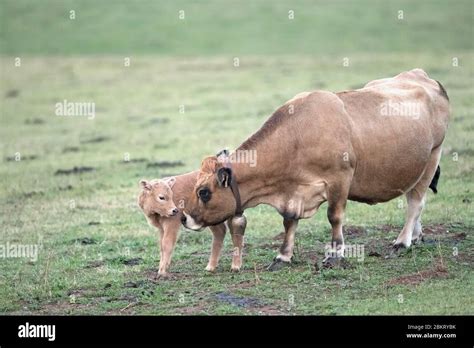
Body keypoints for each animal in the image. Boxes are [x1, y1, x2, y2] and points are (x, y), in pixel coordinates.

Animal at [181, 68, 448, 270]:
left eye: (204, 192)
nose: (184, 217)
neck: (297, 138)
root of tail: (424, 77)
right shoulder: (294, 193)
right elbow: (289, 221)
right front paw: (283, 256)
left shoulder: (340, 179)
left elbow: (334, 216)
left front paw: (335, 254)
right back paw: (416, 236)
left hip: (432, 157)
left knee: (415, 202)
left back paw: (402, 241)